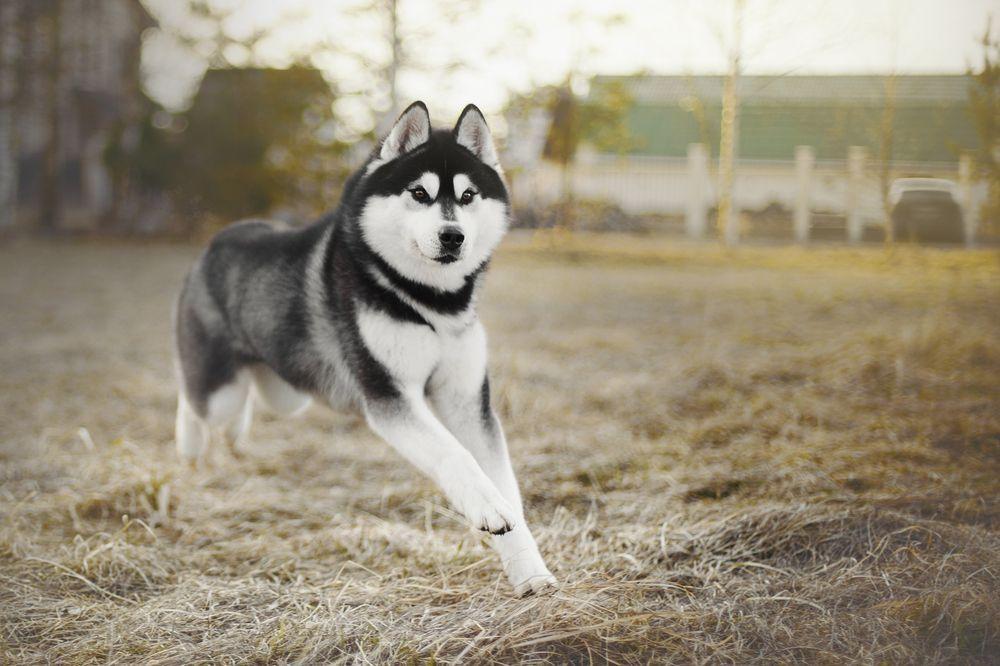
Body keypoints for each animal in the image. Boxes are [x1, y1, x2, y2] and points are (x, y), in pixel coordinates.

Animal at [175, 102, 560, 592]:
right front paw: (488, 506)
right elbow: (454, 456)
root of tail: (215, 240)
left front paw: (531, 573)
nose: (452, 235)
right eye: (419, 192)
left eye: (469, 195)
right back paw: (188, 449)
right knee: (194, 400)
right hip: (219, 391)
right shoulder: (390, 397)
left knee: (241, 408)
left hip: (286, 394)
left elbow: (503, 483)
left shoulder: (468, 401)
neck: (429, 303)